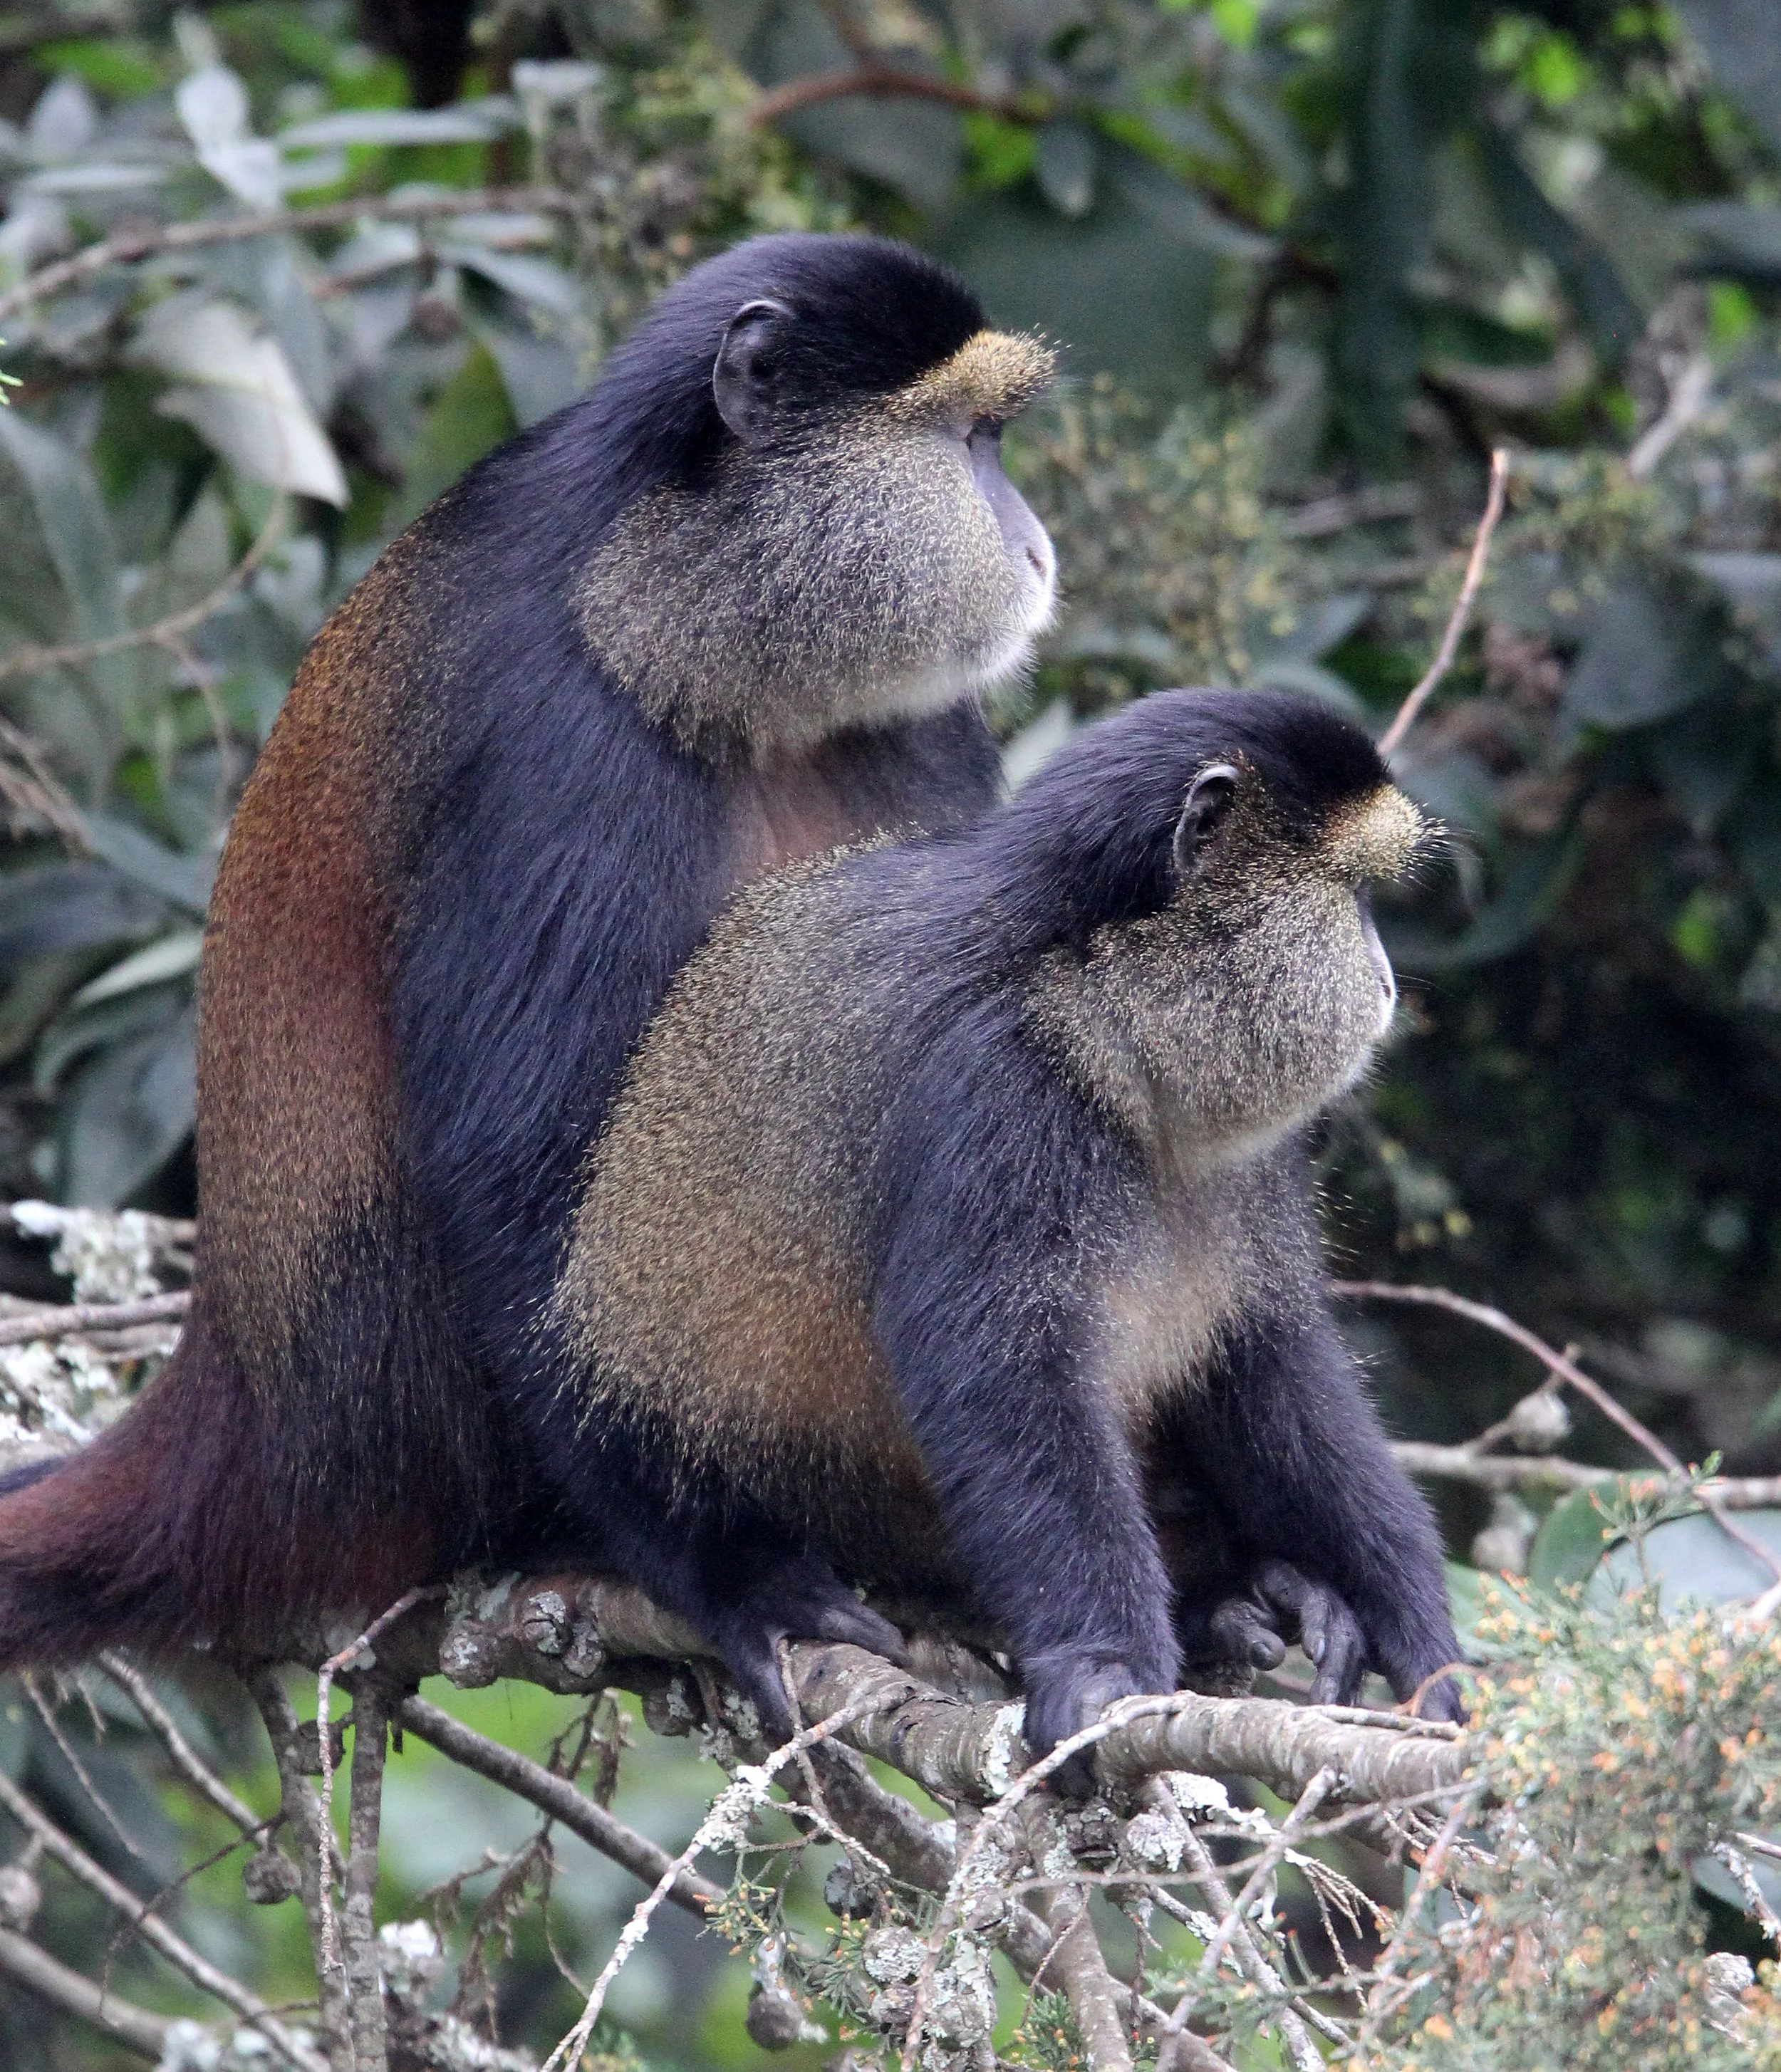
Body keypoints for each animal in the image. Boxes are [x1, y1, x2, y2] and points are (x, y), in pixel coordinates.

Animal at [544, 689, 1465, 1753]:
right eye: (1349, 894)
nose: (1387, 981)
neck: (1093, 993)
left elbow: (1266, 1354)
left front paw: (1416, 1626)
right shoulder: (999, 1090)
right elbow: (1006, 1370)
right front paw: (1101, 1667)